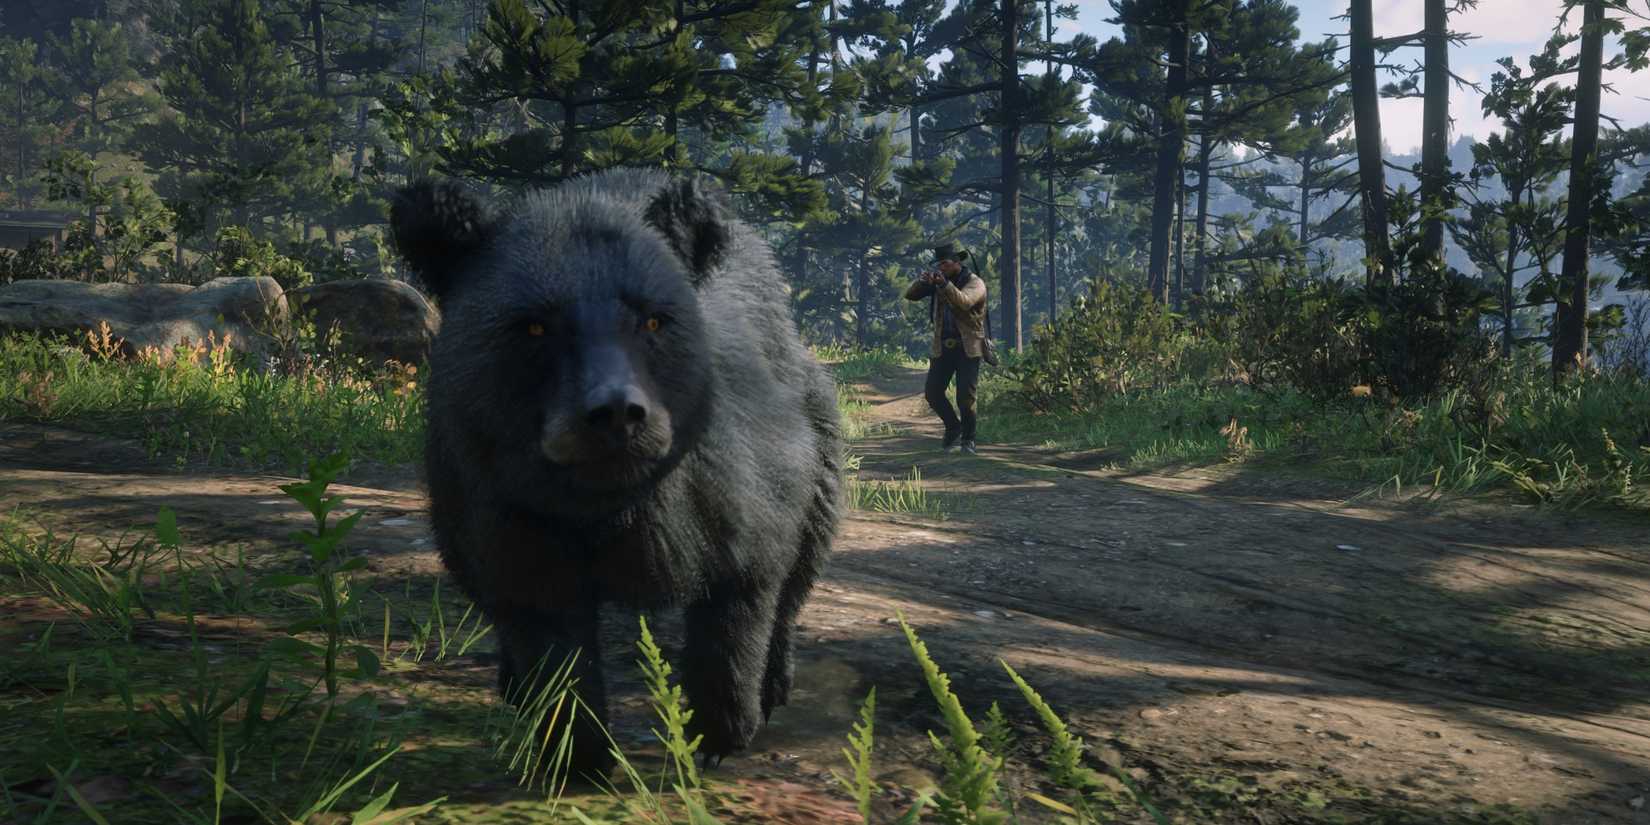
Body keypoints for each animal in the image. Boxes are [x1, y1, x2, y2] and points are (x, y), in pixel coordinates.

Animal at [388, 168, 843, 776]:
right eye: (534, 327)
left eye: (653, 319)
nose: (617, 414)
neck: (608, 498)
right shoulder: (502, 502)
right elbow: (547, 625)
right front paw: (576, 751)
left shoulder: (741, 477)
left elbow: (744, 583)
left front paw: (721, 730)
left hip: (820, 432)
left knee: (804, 561)